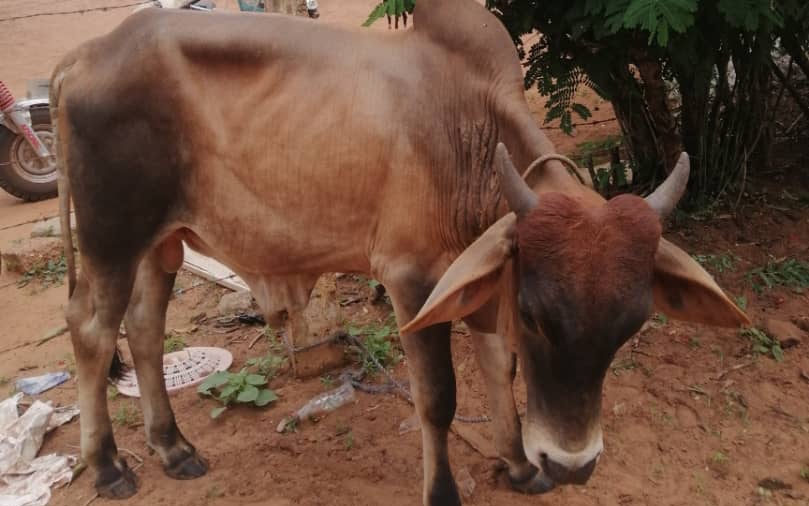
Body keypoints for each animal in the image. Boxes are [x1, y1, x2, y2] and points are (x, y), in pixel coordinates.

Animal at [50, 0, 749, 504]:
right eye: (534, 317)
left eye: (632, 326)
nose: (573, 464)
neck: (467, 130)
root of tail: (84, 56)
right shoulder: (413, 280)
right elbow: (438, 398)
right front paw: (444, 492)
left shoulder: (480, 272)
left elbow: (498, 368)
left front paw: (519, 466)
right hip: (112, 237)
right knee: (90, 331)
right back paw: (108, 466)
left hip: (159, 242)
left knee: (143, 329)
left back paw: (172, 447)